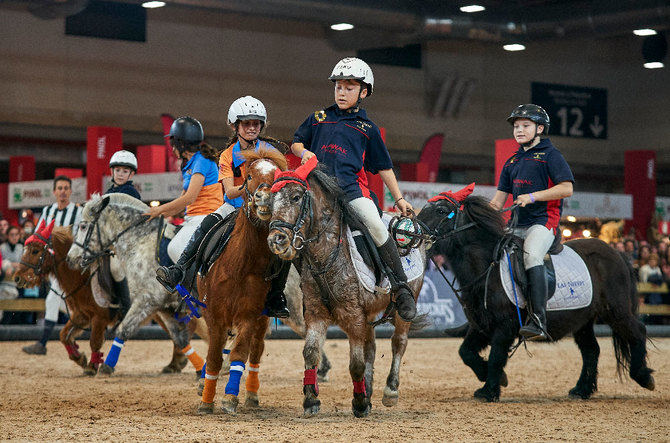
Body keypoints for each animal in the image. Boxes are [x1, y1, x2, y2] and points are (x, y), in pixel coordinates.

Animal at [15, 224, 192, 376]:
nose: (17, 278)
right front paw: (80, 358)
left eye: (35, 251)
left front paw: (92, 366)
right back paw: (175, 363)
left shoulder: (100, 317)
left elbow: (94, 341)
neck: (83, 275)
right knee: (179, 331)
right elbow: (63, 335)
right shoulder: (82, 315)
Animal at [67, 194, 207, 374]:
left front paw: (107, 366)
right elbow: (180, 338)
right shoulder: (164, 307)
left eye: (83, 226)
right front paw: (201, 370)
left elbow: (124, 329)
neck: (140, 241)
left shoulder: (146, 300)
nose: (70, 258)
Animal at [197, 149, 288, 416]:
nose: (265, 198)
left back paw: (252, 395)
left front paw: (230, 398)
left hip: (263, 318)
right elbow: (214, 357)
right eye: (248, 175)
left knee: (255, 351)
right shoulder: (214, 315)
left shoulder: (250, 314)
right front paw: (206, 401)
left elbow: (239, 355)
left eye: (277, 176)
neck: (240, 265)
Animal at [266, 160, 428, 420]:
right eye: (271, 202)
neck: (327, 255)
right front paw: (311, 400)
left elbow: (356, 364)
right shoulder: (317, 313)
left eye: (296, 197)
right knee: (372, 348)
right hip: (368, 314)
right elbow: (311, 352)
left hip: (405, 304)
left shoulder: (353, 316)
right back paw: (369, 392)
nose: (276, 240)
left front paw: (359, 402)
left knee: (399, 342)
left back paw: (390, 390)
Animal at [420, 186, 656, 404]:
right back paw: (582, 390)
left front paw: (490, 390)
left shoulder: (504, 326)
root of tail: (617, 253)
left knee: (638, 331)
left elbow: (496, 356)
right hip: (583, 320)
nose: (415, 232)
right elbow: (466, 353)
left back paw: (643, 376)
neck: (487, 268)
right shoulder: (482, 324)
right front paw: (492, 377)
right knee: (591, 350)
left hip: (616, 311)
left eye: (441, 210)